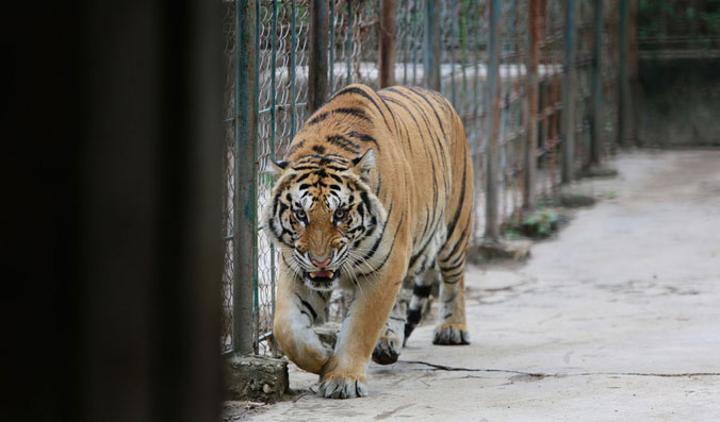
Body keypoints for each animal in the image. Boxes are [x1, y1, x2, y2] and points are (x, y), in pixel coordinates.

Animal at [263, 83, 474, 399]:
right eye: (301, 214)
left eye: (339, 213)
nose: (320, 261)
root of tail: (439, 96)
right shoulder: (295, 266)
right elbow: (287, 327)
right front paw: (321, 357)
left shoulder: (386, 265)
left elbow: (361, 327)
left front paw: (343, 378)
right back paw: (388, 342)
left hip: (454, 229)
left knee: (454, 279)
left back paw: (452, 328)